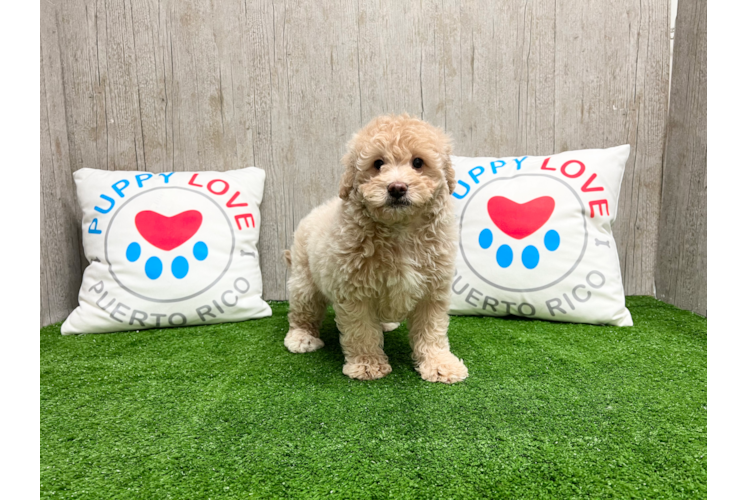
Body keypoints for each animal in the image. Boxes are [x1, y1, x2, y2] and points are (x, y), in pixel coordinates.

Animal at [282, 115, 468, 384]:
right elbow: (361, 331)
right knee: (303, 310)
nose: (397, 188)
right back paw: (301, 337)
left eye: (418, 162)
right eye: (378, 163)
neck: (400, 229)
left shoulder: (433, 289)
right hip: (304, 279)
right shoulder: (355, 292)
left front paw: (440, 364)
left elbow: (432, 330)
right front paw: (367, 365)